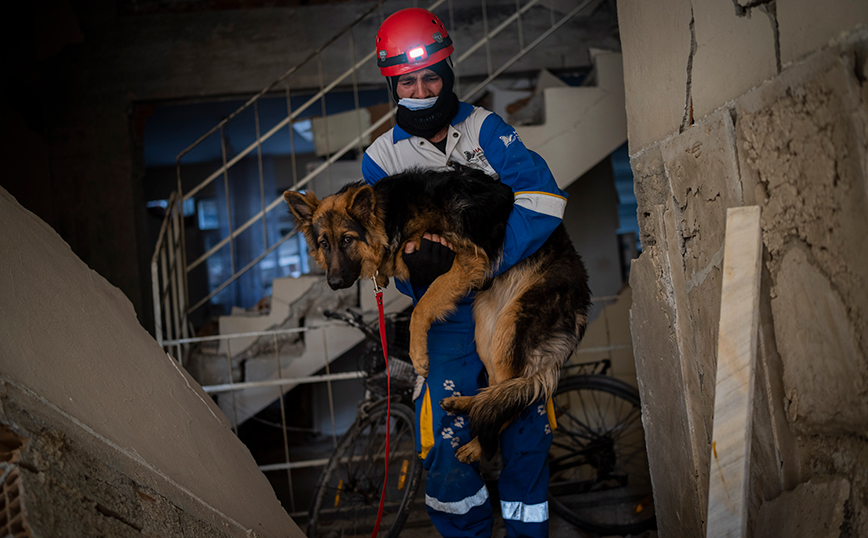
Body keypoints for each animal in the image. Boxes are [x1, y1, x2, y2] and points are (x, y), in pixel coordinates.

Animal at [284, 169, 588, 460]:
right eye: (324, 243)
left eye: (347, 240)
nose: (334, 283)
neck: (391, 215)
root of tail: (582, 297)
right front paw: (380, 273)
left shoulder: (464, 260)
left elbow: (421, 308)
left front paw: (418, 356)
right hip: (487, 330)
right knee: (498, 392)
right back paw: (466, 403)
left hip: (508, 330)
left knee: (510, 403)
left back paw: (477, 447)